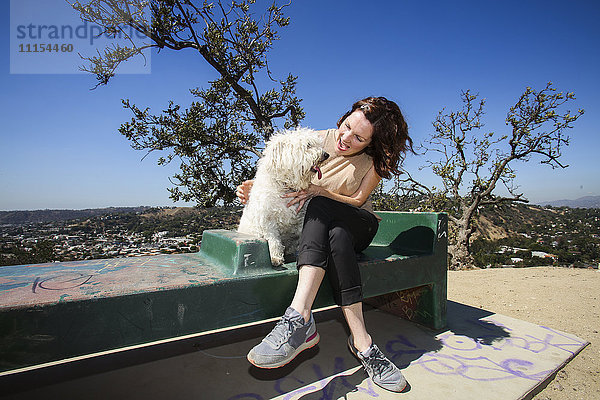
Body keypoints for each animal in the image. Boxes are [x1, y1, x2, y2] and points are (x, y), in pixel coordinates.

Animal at [237, 128, 328, 266]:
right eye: (308, 145)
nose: (326, 154)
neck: (284, 185)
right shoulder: (268, 221)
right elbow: (274, 240)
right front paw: (275, 257)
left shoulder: (301, 218)